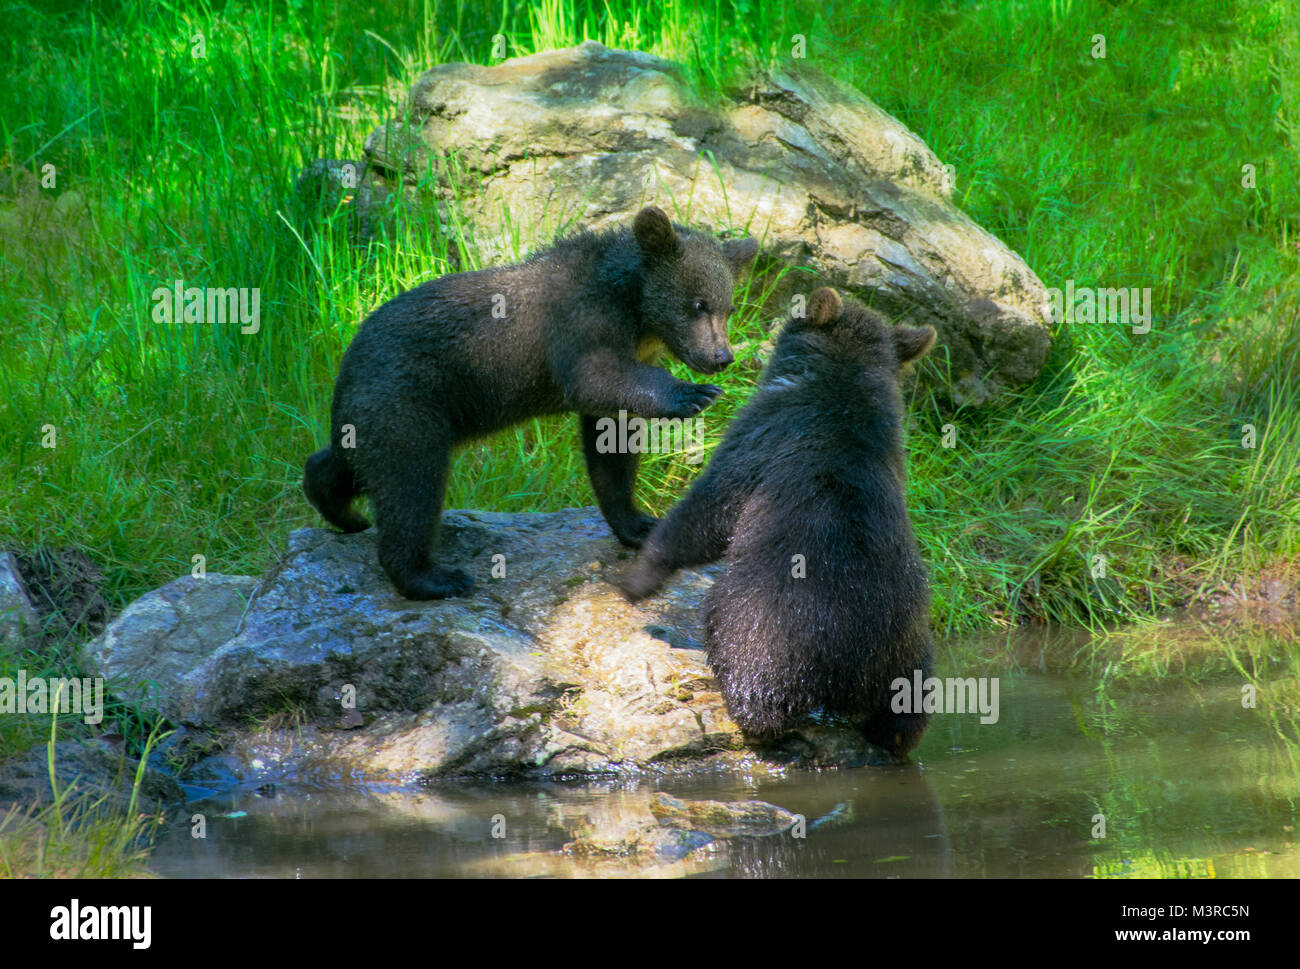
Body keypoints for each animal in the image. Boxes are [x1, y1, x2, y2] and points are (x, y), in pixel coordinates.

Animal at [303, 205, 758, 600]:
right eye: (698, 304)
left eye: (730, 307)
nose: (720, 358)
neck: (635, 312)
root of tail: (348, 361)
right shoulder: (581, 320)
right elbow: (596, 379)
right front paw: (692, 394)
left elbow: (611, 442)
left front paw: (639, 523)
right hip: (409, 398)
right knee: (410, 483)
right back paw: (433, 577)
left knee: (356, 462)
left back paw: (340, 507)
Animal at [615, 286, 937, 757]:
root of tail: (853, 672)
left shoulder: (761, 438)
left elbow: (705, 512)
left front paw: (638, 578)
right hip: (912, 653)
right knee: (907, 712)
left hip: (767, 623)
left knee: (752, 673)